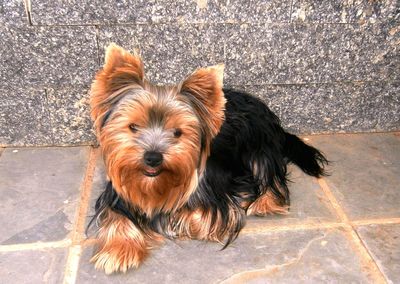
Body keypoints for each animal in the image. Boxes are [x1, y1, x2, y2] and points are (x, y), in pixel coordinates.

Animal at [88, 43, 328, 274]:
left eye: (178, 132)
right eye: (133, 127)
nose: (153, 157)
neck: (156, 184)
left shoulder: (216, 193)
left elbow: (205, 217)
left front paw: (176, 220)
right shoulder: (118, 193)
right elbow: (116, 216)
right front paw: (117, 251)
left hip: (259, 143)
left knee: (269, 173)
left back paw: (265, 203)